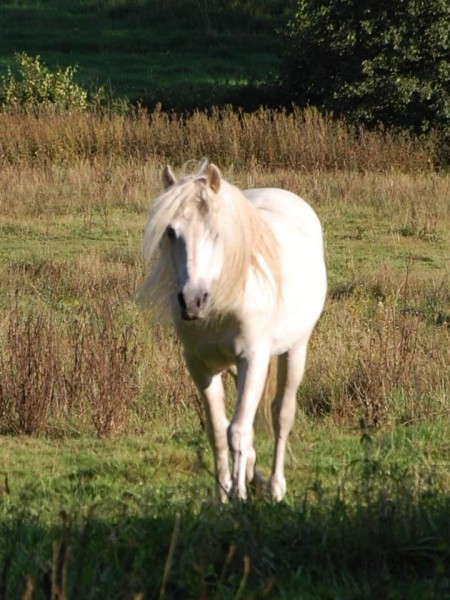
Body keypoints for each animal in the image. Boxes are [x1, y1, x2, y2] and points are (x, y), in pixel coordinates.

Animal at [139, 159, 326, 502]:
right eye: (171, 231)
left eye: (216, 231)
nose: (192, 301)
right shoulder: (200, 366)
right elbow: (218, 430)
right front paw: (222, 495)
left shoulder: (253, 359)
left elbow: (237, 431)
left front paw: (238, 495)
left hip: (295, 349)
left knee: (281, 415)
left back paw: (276, 486)